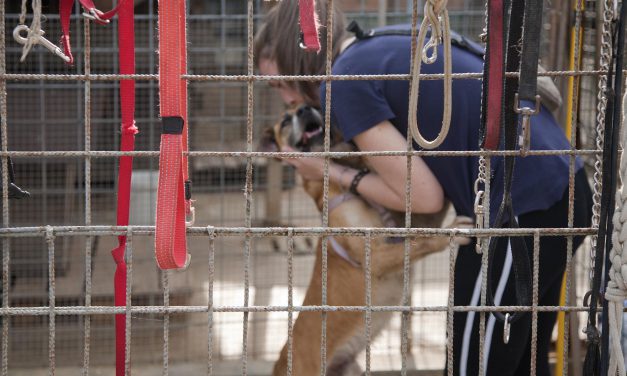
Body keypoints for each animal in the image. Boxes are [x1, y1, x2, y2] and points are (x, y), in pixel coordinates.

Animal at [260, 105, 472, 376]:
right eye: (286, 121)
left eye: (314, 108)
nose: (306, 109)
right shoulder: (376, 255)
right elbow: (420, 240)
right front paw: (453, 231)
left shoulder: (415, 217)